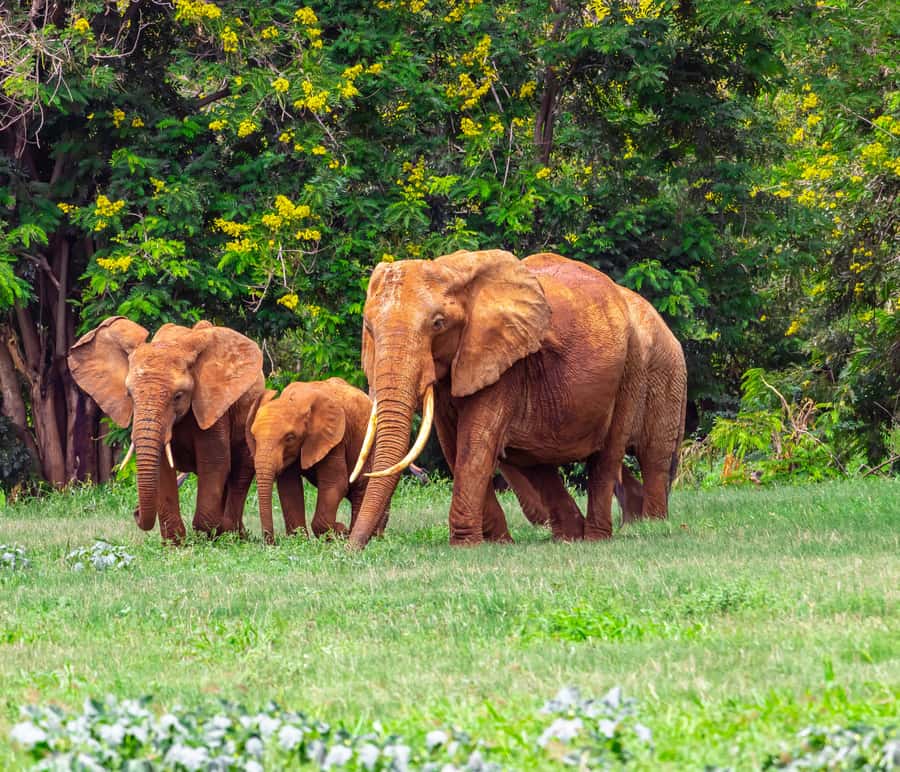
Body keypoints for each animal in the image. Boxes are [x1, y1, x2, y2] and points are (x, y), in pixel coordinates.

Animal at [68, 317, 264, 541]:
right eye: (129, 395)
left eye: (178, 396)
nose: (136, 513)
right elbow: (161, 467)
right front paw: (175, 542)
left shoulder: (212, 406)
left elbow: (214, 461)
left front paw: (204, 537)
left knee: (240, 472)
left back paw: (233, 536)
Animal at [246, 377, 389, 544]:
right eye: (254, 438)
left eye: (290, 438)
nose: (272, 543)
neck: (295, 400)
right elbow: (289, 487)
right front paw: (299, 540)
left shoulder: (336, 439)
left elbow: (335, 484)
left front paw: (340, 532)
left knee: (361, 487)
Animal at [347, 249, 686, 548]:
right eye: (368, 328)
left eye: (438, 323)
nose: (352, 548)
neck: (452, 269)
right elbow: (453, 445)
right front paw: (497, 543)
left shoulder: (505, 363)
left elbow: (474, 445)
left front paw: (465, 546)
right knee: (536, 462)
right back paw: (570, 536)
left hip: (636, 367)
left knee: (624, 455)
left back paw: (616, 533)